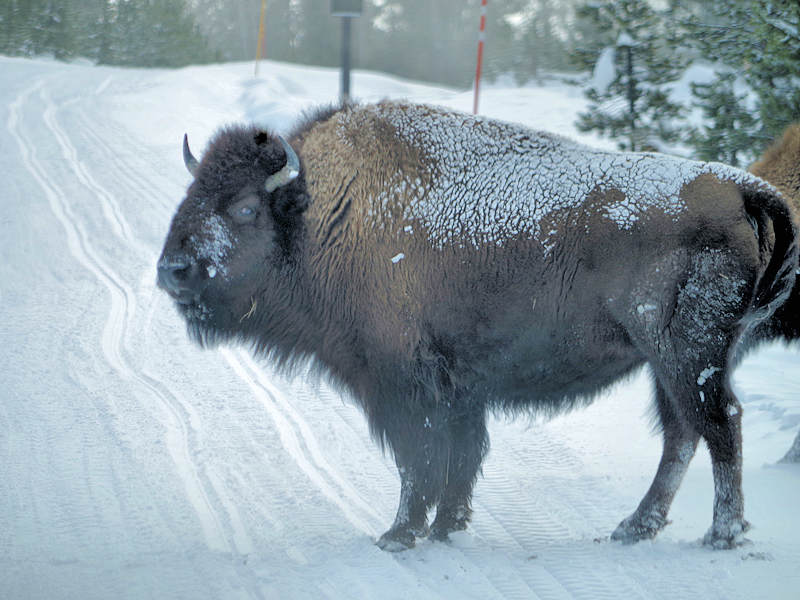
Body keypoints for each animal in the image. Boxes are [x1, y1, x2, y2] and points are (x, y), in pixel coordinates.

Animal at [158, 101, 800, 552]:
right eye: (192, 192)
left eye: (245, 207)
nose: (172, 269)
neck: (327, 212)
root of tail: (738, 186)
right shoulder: (458, 387)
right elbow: (459, 459)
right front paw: (448, 526)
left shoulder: (402, 384)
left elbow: (420, 459)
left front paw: (398, 534)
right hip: (669, 362)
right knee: (681, 434)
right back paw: (633, 527)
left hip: (685, 354)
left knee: (718, 425)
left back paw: (721, 534)